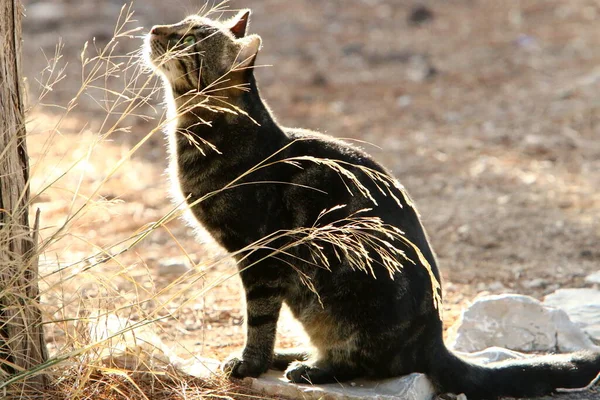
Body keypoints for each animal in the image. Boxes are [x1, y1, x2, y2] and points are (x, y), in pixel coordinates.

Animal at [145, 7, 600, 398]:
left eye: (188, 38)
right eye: (179, 23)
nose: (154, 29)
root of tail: (433, 342)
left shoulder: (262, 256)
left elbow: (258, 320)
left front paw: (249, 363)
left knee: (364, 362)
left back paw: (310, 367)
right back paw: (294, 354)